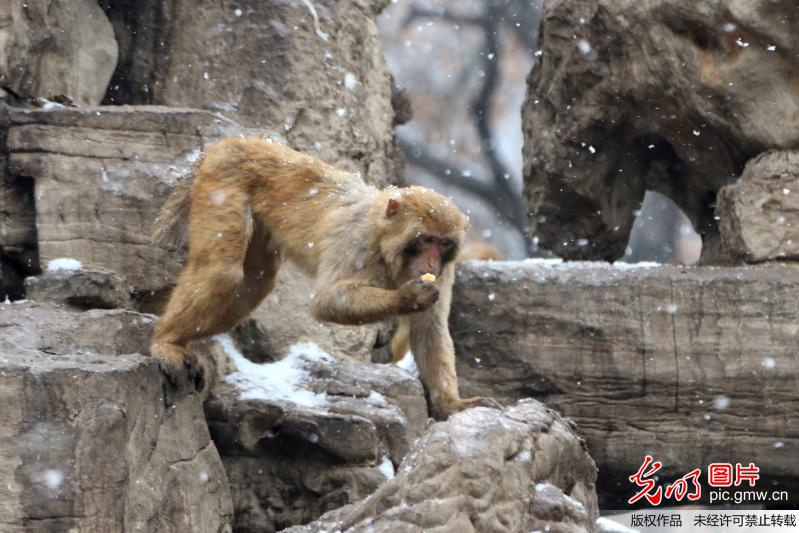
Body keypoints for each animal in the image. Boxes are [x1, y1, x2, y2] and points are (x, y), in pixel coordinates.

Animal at [152, 137, 500, 420]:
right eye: (426, 239)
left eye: (444, 244)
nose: (431, 261)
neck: (385, 241)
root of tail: (231, 142)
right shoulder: (356, 241)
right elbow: (327, 301)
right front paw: (407, 298)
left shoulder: (445, 271)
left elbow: (430, 326)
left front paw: (452, 405)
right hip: (223, 183)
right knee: (220, 271)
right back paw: (167, 341)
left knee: (253, 286)